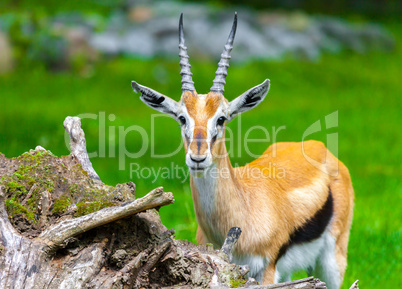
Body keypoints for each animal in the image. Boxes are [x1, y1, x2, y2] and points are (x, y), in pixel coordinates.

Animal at [130, 12, 354, 286]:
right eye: (182, 118)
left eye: (222, 118)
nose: (197, 157)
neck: (243, 210)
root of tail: (318, 146)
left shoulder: (265, 271)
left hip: (331, 262)